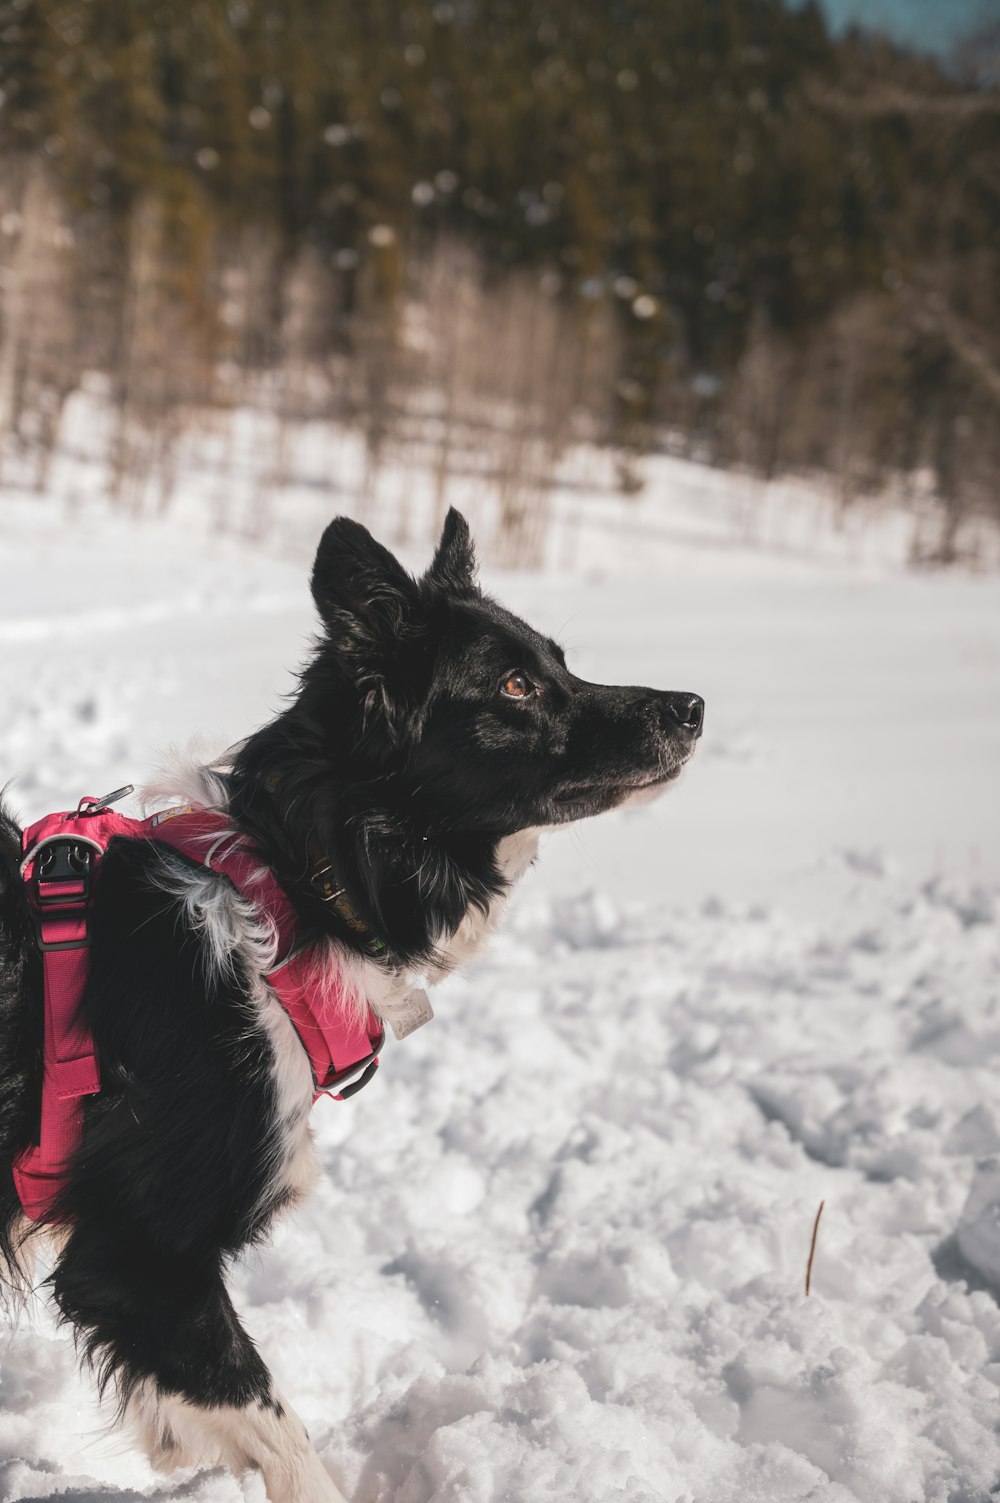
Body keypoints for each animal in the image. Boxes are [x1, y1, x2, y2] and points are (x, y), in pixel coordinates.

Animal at [0, 511, 700, 1496]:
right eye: (517, 685)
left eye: (559, 662)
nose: (692, 706)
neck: (296, 888)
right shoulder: (141, 1251)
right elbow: (277, 1425)